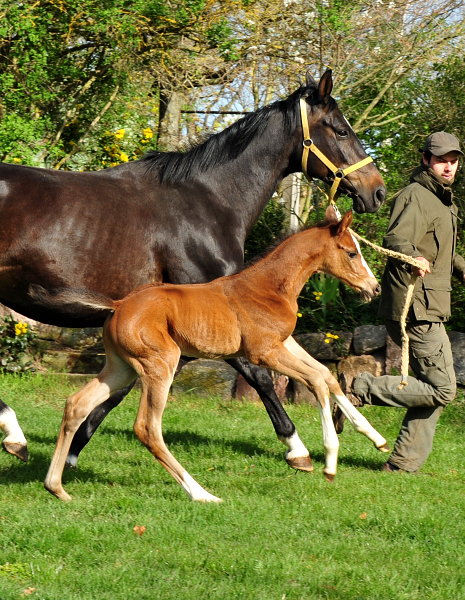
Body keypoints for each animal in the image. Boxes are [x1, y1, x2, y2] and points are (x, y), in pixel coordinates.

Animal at [43, 209, 386, 504]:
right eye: (351, 252)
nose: (375, 288)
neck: (269, 287)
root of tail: (118, 305)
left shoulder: (284, 342)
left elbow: (326, 375)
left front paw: (376, 437)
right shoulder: (264, 352)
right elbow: (316, 379)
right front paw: (329, 460)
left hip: (121, 368)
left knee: (76, 404)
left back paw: (56, 487)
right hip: (160, 364)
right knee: (147, 427)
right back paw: (201, 493)